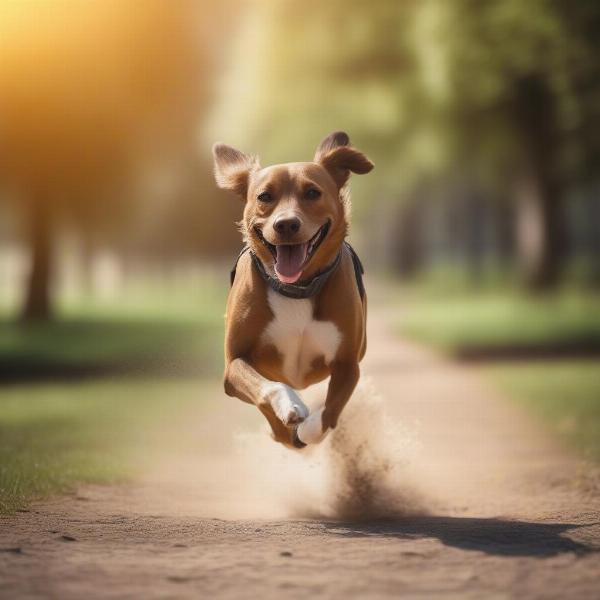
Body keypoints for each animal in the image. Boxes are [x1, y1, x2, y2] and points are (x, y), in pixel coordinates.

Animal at [211, 132, 370, 450]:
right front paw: (291, 407)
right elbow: (269, 388)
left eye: (312, 192)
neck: (296, 288)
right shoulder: (233, 365)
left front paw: (307, 430)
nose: (285, 224)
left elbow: (328, 414)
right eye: (264, 196)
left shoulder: (349, 364)